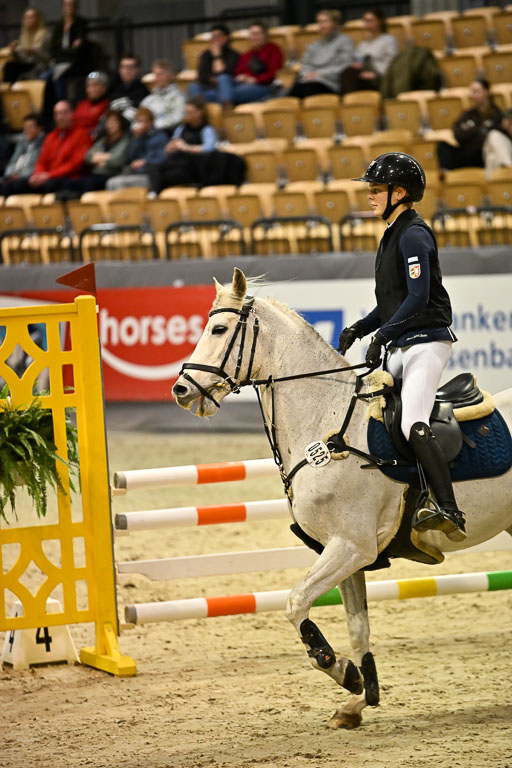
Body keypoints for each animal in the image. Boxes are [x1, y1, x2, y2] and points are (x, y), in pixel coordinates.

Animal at [172, 267, 512, 730]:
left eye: (219, 329)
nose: (181, 391)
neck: (326, 419)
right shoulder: (346, 553)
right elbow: (357, 627)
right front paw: (359, 698)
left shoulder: (351, 547)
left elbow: (296, 603)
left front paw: (339, 669)